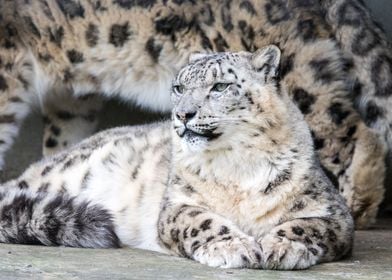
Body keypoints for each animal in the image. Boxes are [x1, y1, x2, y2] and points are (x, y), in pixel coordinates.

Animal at [0, 47, 356, 270]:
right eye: (179, 87)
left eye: (220, 86)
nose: (183, 114)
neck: (236, 165)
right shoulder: (178, 204)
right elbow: (203, 222)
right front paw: (235, 248)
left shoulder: (331, 211)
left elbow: (305, 226)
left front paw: (280, 247)